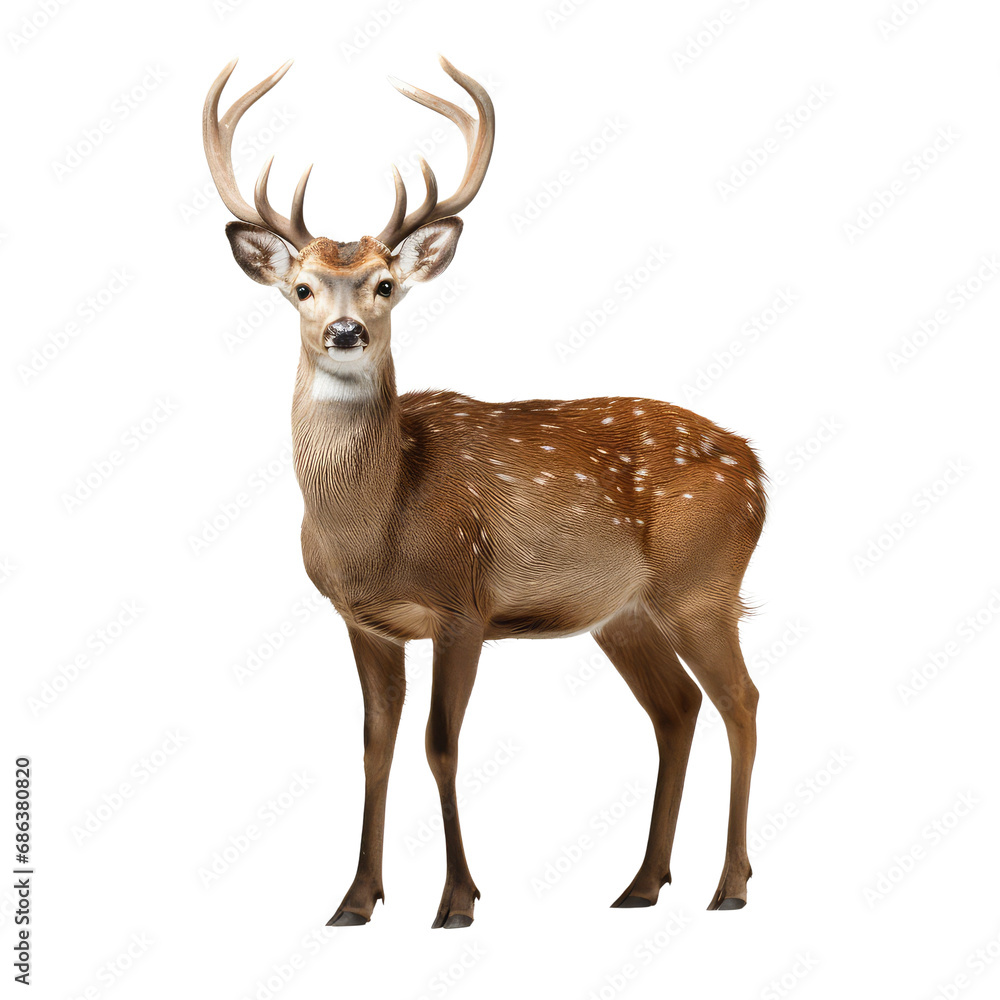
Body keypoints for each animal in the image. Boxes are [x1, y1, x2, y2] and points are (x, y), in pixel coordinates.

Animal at [203, 56, 767, 928]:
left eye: (385, 284)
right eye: (301, 287)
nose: (344, 333)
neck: (374, 524)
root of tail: (758, 468)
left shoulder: (463, 602)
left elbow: (440, 743)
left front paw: (457, 899)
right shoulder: (364, 621)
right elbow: (374, 747)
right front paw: (355, 900)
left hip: (701, 584)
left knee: (742, 700)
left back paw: (730, 885)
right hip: (624, 612)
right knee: (676, 709)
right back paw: (640, 885)